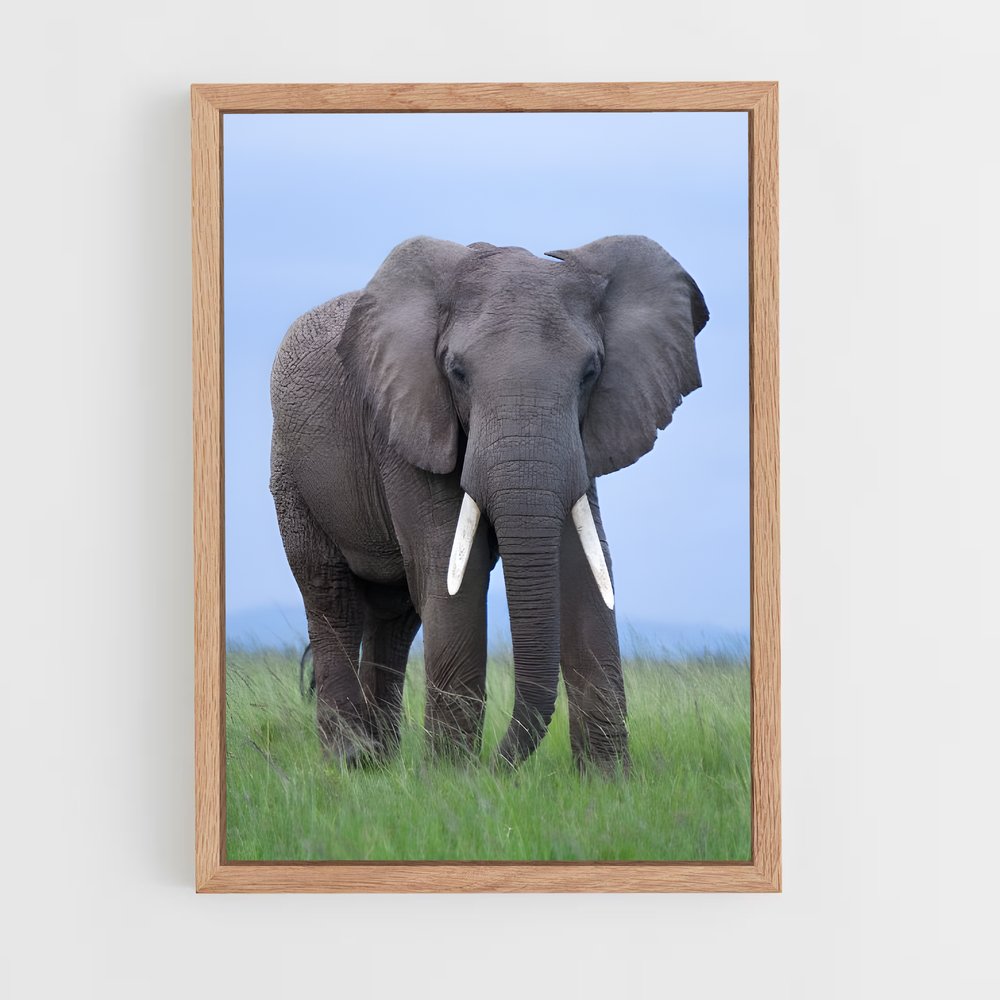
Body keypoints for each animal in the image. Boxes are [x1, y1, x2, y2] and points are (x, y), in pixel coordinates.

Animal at [269, 235, 708, 770]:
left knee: (394, 616)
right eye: (457, 372)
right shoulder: (405, 424)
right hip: (291, 472)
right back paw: (350, 761)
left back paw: (382, 763)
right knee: (331, 595)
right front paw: (450, 779)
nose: (496, 768)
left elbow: (584, 566)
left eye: (590, 373)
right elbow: (452, 565)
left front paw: (608, 781)